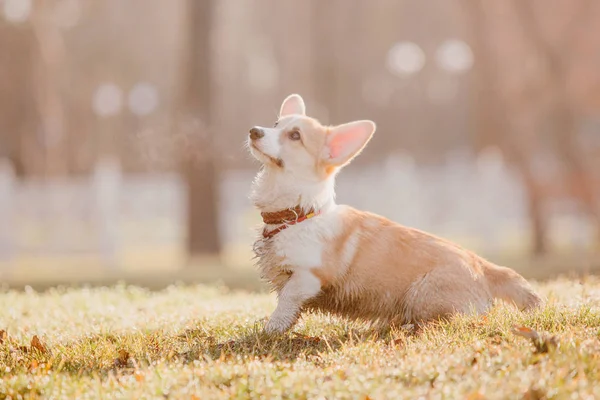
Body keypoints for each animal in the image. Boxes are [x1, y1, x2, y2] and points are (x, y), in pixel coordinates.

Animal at [246, 94, 540, 334]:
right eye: (275, 124)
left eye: (295, 135)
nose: (253, 131)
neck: (296, 215)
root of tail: (482, 264)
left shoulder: (309, 276)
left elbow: (287, 299)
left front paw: (270, 329)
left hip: (423, 294)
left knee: (445, 320)